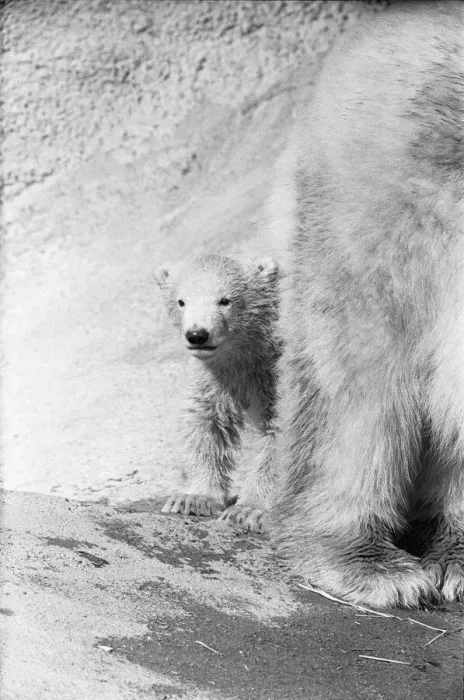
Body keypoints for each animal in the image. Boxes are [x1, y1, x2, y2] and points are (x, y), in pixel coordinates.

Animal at [155, 254, 282, 532]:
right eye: (182, 301)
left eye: (225, 300)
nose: (197, 335)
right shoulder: (218, 376)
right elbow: (206, 421)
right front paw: (193, 499)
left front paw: (249, 511)